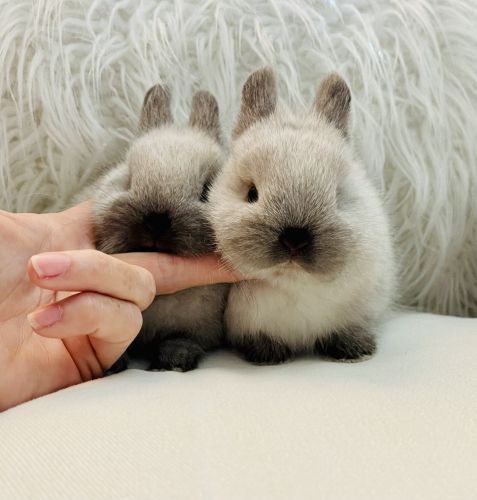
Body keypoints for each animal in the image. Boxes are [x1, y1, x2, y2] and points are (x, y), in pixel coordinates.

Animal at [85, 83, 229, 372]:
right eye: (127, 179)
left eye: (206, 190)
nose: (156, 219)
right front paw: (114, 364)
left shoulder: (197, 328)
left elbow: (181, 339)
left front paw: (172, 362)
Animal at [208, 68, 394, 366]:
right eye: (251, 193)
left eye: (338, 195)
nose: (294, 239)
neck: (293, 283)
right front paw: (268, 354)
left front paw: (356, 351)